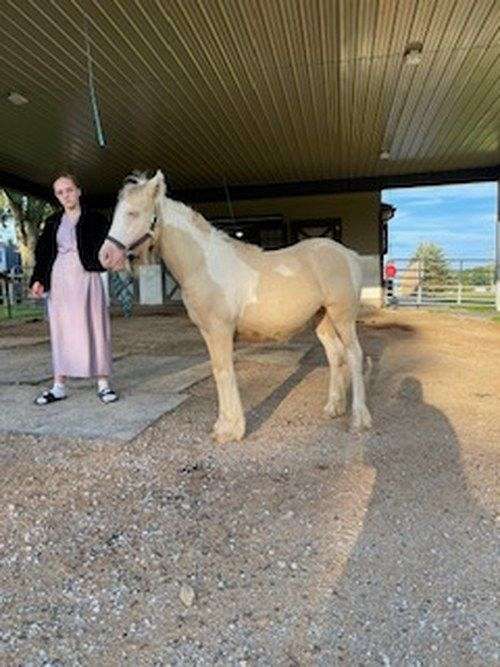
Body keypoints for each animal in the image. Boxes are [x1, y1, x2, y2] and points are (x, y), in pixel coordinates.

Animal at [99, 170, 372, 443]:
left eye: (133, 213)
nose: (105, 256)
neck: (204, 265)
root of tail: (350, 255)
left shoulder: (220, 330)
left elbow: (223, 370)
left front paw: (230, 430)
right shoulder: (208, 332)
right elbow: (218, 371)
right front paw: (224, 425)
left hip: (343, 318)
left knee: (354, 355)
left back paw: (359, 420)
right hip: (323, 320)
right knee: (335, 354)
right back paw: (334, 408)